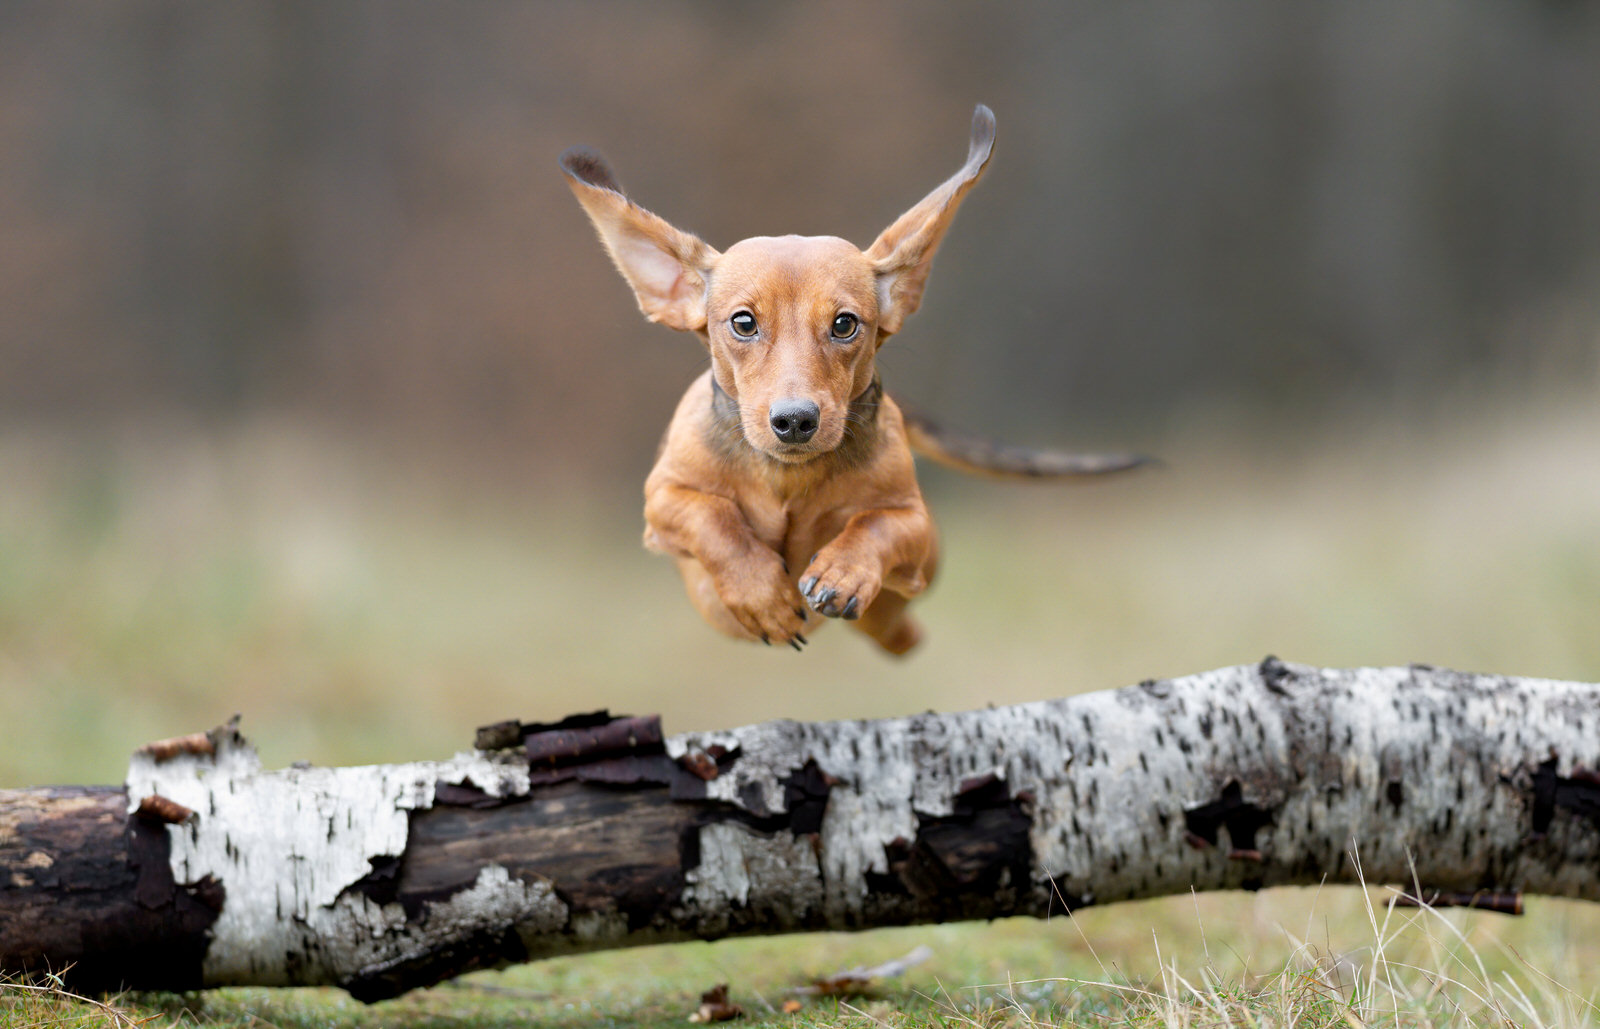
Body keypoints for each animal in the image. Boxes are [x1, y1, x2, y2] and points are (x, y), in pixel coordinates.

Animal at [563, 108, 1152, 656]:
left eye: (844, 324)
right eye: (743, 323)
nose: (795, 421)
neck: (788, 478)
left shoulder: (916, 523)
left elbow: (874, 525)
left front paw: (843, 570)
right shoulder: (663, 499)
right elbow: (714, 518)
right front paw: (760, 594)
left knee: (898, 630)